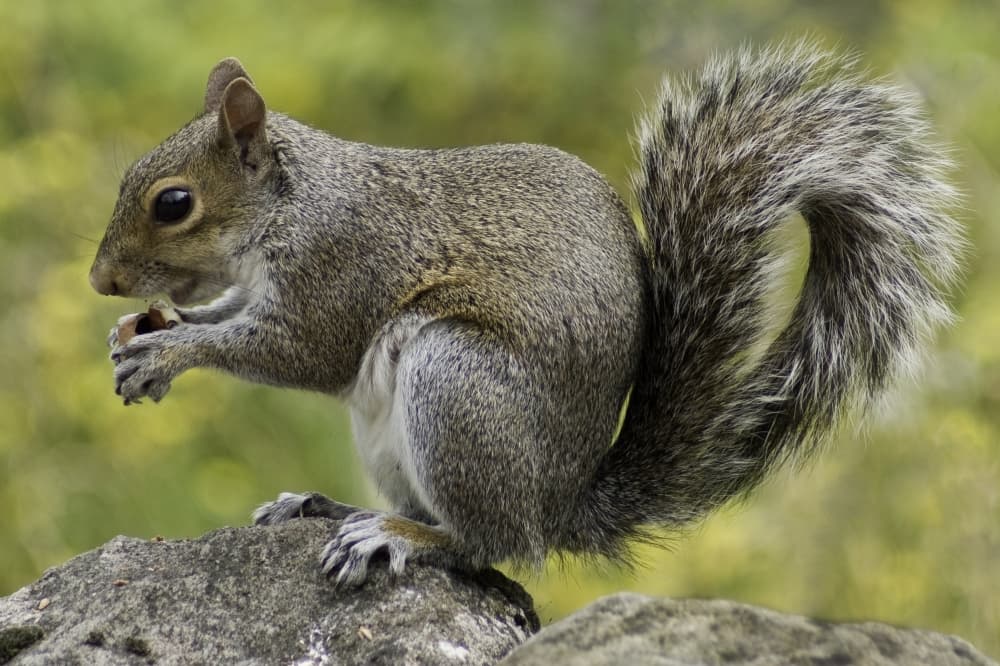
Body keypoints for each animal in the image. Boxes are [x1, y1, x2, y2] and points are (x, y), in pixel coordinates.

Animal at [90, 43, 961, 586]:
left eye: (173, 203)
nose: (101, 281)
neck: (293, 204)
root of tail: (559, 504)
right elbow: (234, 312)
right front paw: (145, 332)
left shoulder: (342, 269)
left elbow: (298, 351)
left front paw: (168, 353)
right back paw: (332, 507)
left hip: (457, 385)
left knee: (490, 545)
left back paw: (397, 536)